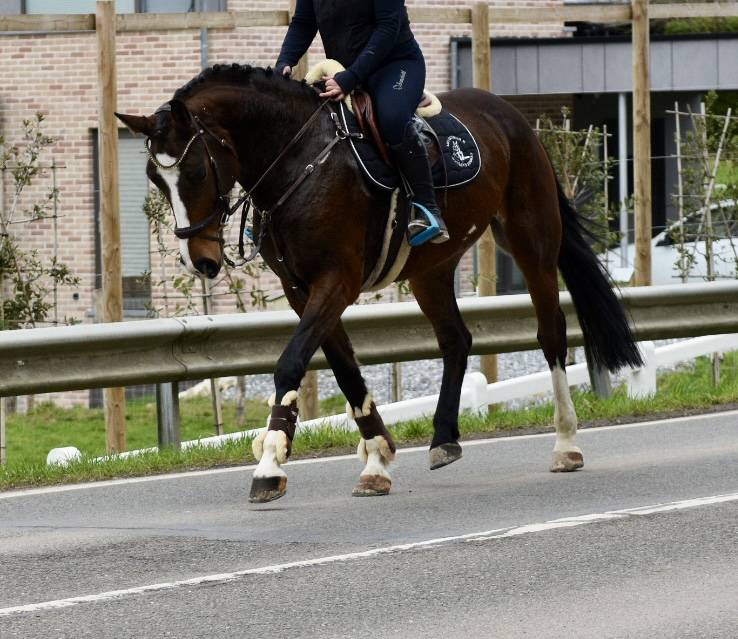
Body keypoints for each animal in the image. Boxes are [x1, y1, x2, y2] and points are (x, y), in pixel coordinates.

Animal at [116, 63, 642, 503]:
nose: (201, 261)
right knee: (456, 340)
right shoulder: (301, 290)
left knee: (551, 334)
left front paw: (269, 464)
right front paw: (376, 459)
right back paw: (444, 439)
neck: (300, 160)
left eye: (195, 170)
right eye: (154, 179)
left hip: (532, 245)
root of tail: (513, 117)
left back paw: (566, 443)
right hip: (431, 270)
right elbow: (345, 370)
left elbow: (291, 364)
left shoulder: (336, 281)